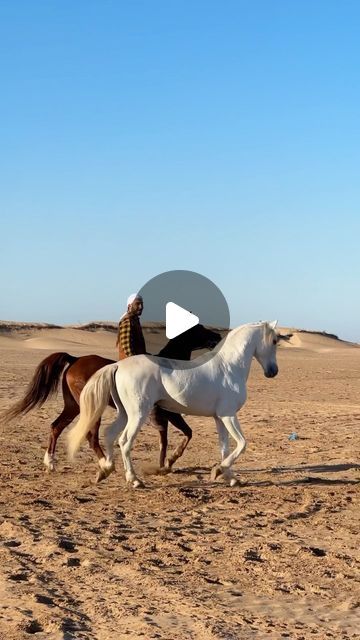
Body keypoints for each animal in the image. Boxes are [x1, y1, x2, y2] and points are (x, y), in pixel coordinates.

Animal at [2, 324, 221, 480]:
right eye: (199, 328)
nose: (217, 337)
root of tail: (75, 359)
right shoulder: (168, 414)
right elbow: (185, 434)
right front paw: (168, 462)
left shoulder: (162, 417)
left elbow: (166, 440)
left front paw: (163, 465)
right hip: (91, 409)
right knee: (90, 436)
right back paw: (106, 465)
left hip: (73, 406)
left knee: (56, 426)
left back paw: (50, 464)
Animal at [69, 322, 280, 488]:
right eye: (275, 341)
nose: (273, 372)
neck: (228, 367)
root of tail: (118, 365)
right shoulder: (228, 415)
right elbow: (242, 444)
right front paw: (219, 471)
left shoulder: (220, 418)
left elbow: (225, 448)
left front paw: (229, 477)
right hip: (138, 414)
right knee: (124, 440)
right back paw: (134, 480)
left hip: (124, 413)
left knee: (110, 434)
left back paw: (105, 470)